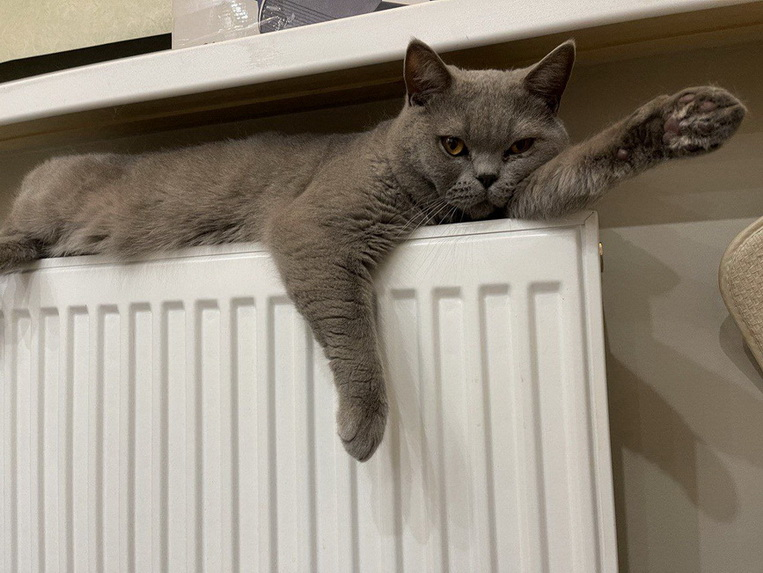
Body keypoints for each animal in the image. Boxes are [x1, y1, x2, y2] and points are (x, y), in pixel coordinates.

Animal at [0, 39, 746, 461]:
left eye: (518, 146)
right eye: (452, 144)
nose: (484, 177)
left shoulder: (516, 202)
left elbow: (577, 166)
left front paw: (691, 119)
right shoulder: (313, 230)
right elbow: (352, 330)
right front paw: (363, 427)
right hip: (43, 202)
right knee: (22, 229)